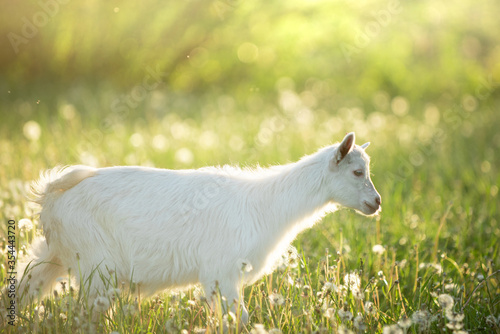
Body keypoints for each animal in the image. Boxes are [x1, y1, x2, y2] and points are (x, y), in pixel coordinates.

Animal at [18, 132, 378, 322]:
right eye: (357, 172)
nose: (376, 203)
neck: (266, 203)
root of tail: (51, 195)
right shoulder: (223, 271)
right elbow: (240, 320)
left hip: (56, 251)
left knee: (28, 281)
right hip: (96, 264)